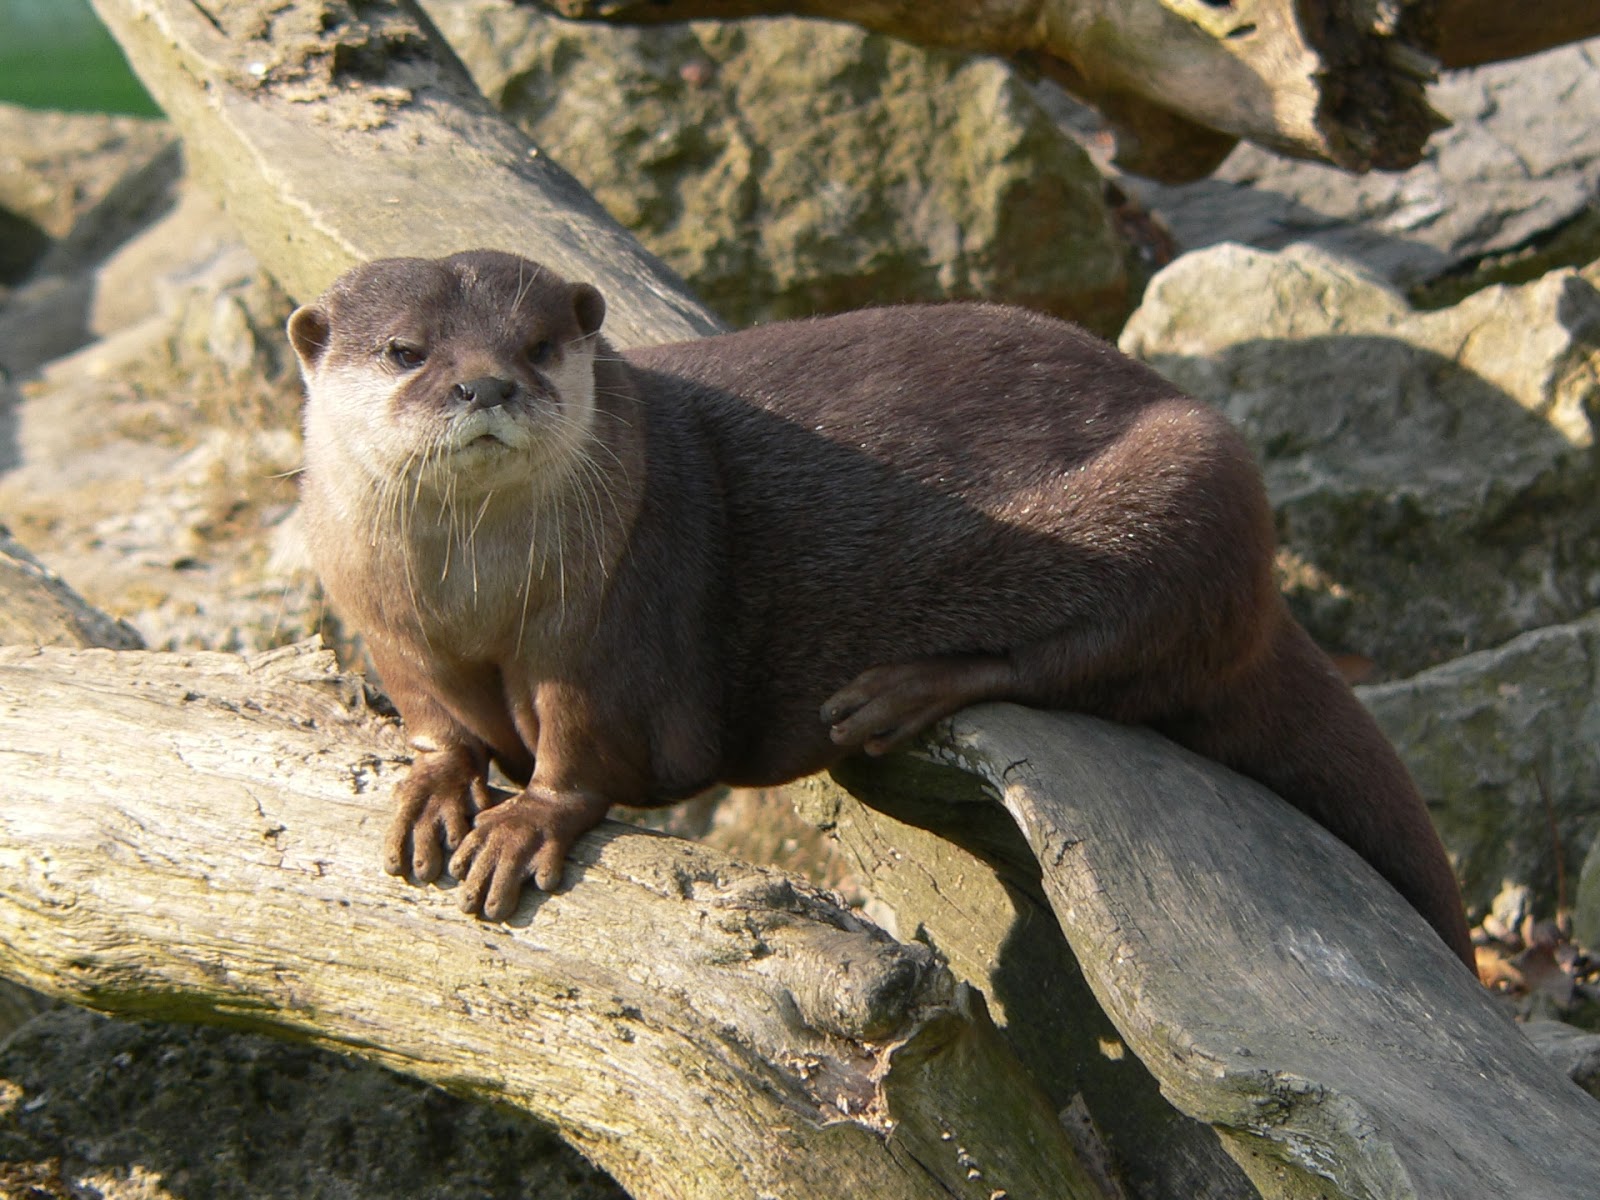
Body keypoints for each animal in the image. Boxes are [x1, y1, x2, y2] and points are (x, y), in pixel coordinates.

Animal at [288, 249, 1474, 969]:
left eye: (538, 345)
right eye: (404, 351)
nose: (485, 383)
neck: (475, 601)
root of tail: (1270, 603)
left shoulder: (611, 624)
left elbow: (588, 750)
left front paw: (526, 818)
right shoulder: (387, 629)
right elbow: (434, 719)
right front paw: (437, 783)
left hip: (1192, 491)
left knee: (1098, 658)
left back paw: (894, 692)